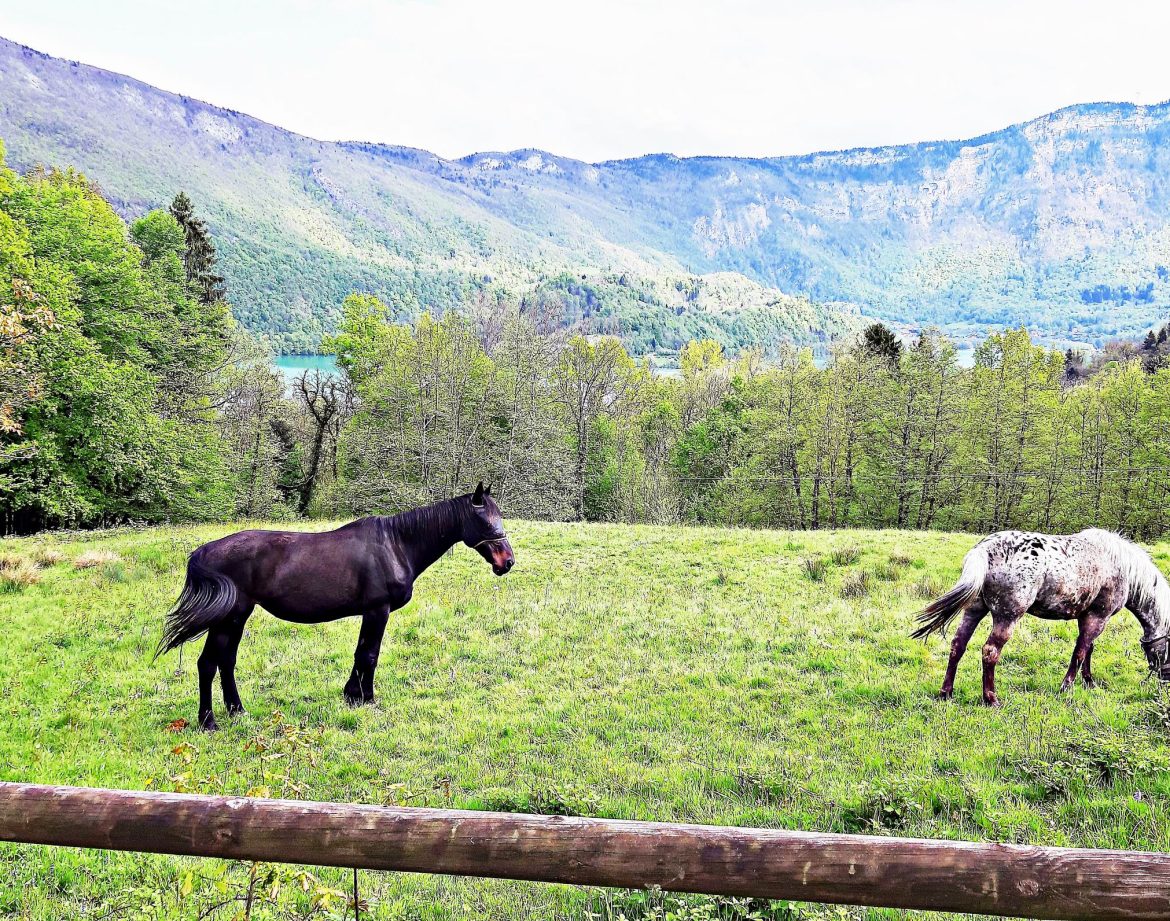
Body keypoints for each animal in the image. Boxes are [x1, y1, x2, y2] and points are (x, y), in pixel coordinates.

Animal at [156, 483, 514, 730]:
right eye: (486, 522)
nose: (507, 562)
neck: (396, 544)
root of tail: (205, 550)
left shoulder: (371, 613)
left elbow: (361, 653)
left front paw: (352, 694)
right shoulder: (377, 610)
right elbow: (370, 655)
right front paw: (367, 698)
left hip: (237, 617)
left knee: (226, 662)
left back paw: (237, 710)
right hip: (228, 618)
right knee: (208, 664)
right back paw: (208, 721)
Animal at [913, 528, 1170, 705]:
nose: (1166, 680)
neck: (1121, 567)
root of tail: (985, 550)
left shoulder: (1089, 617)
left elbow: (1088, 650)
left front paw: (1089, 682)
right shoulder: (1098, 617)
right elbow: (1080, 652)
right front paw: (1067, 687)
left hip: (974, 610)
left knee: (958, 644)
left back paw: (946, 693)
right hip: (1007, 617)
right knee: (990, 652)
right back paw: (991, 699)